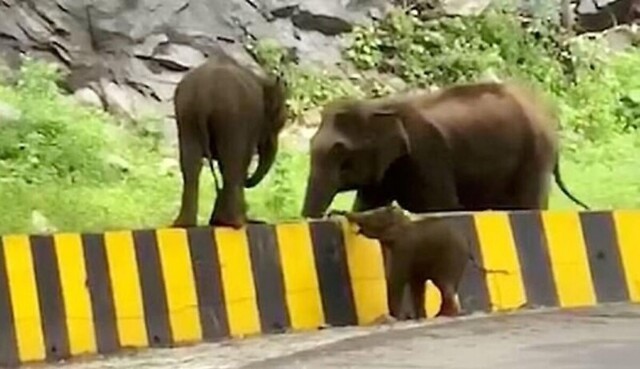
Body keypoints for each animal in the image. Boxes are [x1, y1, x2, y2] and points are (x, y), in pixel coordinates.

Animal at [302, 80, 592, 217]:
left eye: (341, 153)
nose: (327, 214)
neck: (379, 106)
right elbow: (365, 206)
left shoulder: (426, 155)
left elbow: (443, 207)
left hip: (534, 155)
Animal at [336, 206, 500, 318]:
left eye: (374, 217)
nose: (339, 212)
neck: (404, 221)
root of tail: (467, 244)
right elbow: (417, 285)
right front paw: (418, 317)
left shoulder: (404, 248)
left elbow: (397, 279)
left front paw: (396, 318)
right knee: (447, 287)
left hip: (451, 258)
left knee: (444, 285)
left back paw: (445, 315)